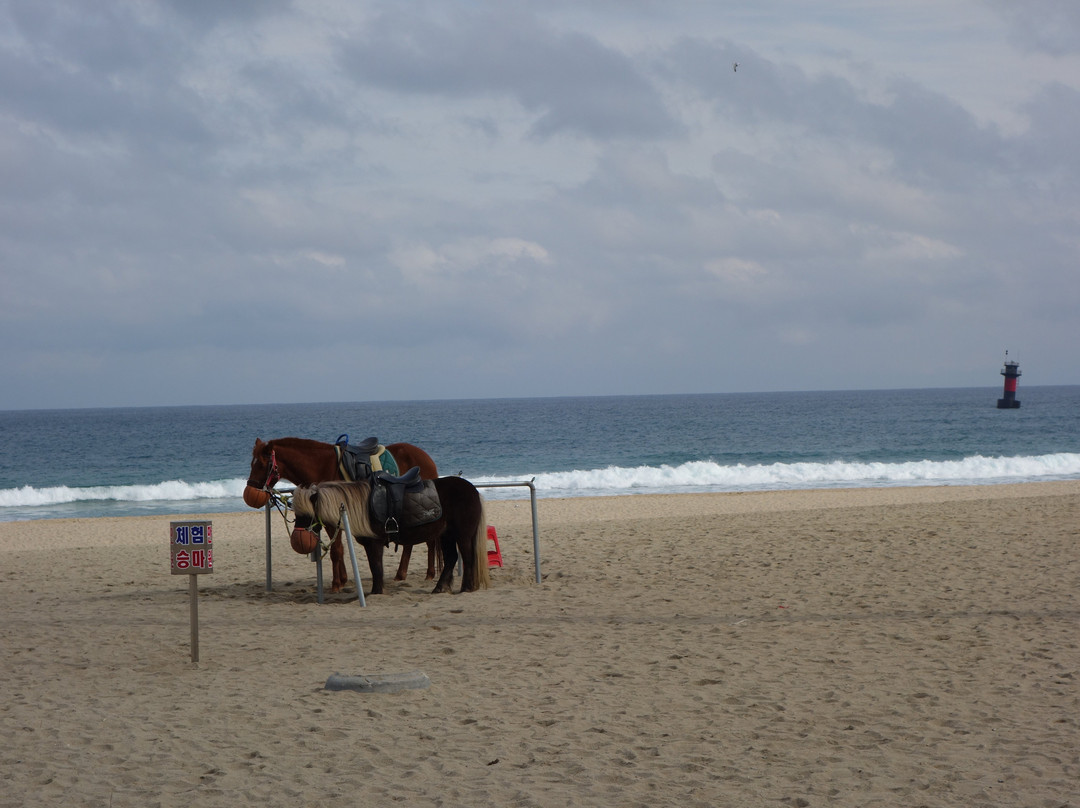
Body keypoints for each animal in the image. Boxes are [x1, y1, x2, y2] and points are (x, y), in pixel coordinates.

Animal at [245, 438, 438, 591]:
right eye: (251, 464)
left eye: (261, 464)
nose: (249, 493)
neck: (321, 466)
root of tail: (426, 457)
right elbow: (338, 548)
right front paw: (343, 579)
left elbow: (336, 550)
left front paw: (337, 584)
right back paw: (401, 574)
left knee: (430, 541)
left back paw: (429, 574)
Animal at [287, 477, 490, 596]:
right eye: (296, 513)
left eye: (306, 514)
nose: (297, 537)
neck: (361, 506)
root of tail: (472, 489)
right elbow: (376, 567)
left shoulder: (374, 544)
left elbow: (376, 567)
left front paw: (376, 592)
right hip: (446, 536)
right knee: (451, 559)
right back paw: (440, 588)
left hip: (462, 536)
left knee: (468, 558)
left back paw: (466, 588)